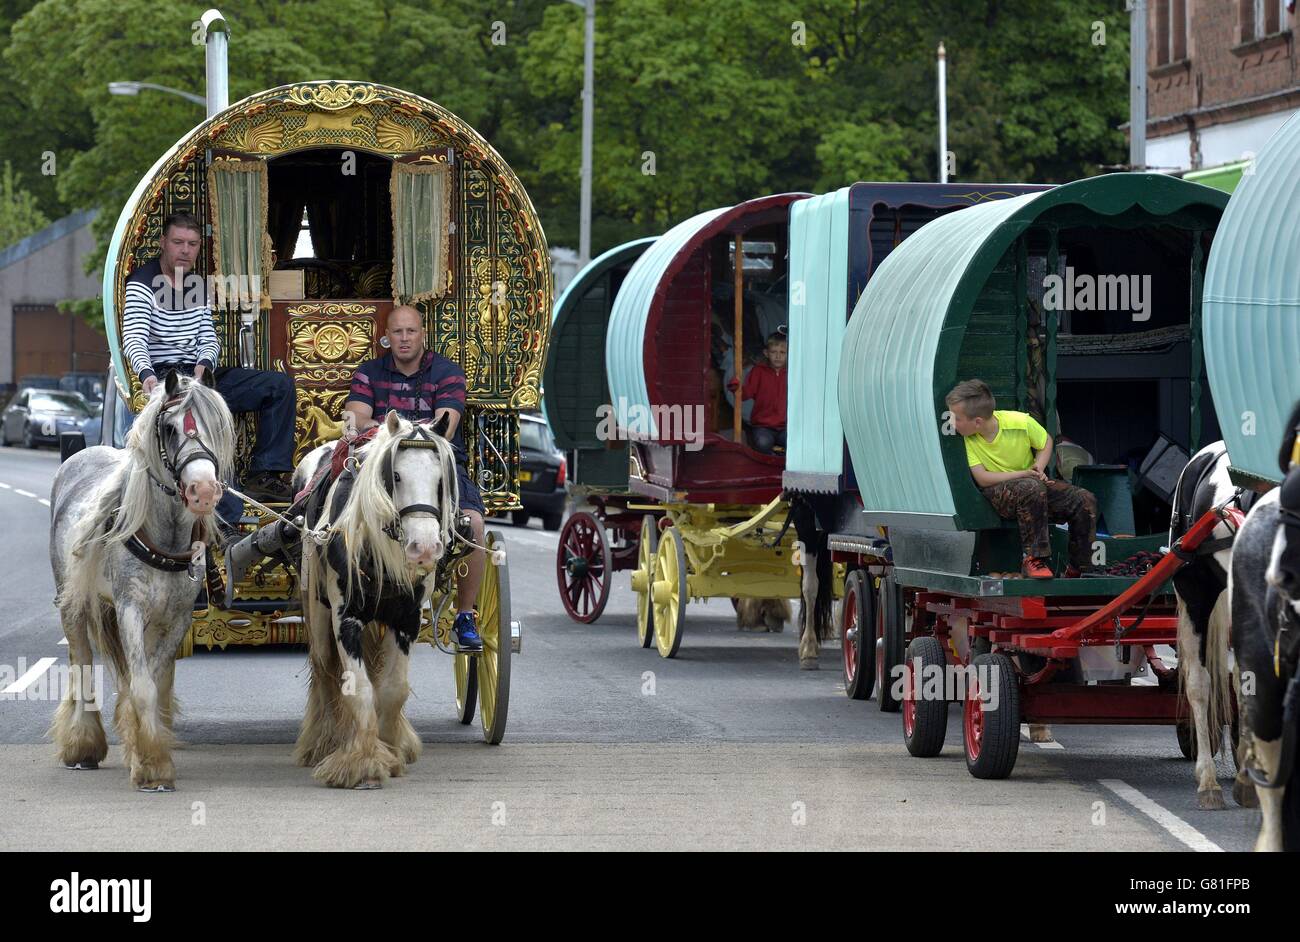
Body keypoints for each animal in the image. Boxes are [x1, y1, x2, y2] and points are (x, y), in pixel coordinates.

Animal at [47, 371, 235, 789]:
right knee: (81, 661)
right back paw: (82, 745)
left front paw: (145, 750)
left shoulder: (176, 618)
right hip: (73, 600)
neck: (162, 537)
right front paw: (152, 767)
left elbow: (152, 678)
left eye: (216, 427)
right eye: (168, 428)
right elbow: (143, 685)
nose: (203, 492)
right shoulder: (130, 608)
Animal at [292, 410, 460, 784]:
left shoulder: (407, 618)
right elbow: (359, 687)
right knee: (324, 668)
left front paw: (391, 750)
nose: (424, 548)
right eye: (395, 475)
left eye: (441, 480)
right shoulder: (346, 618)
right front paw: (362, 761)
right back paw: (323, 742)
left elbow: (393, 689)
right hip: (317, 607)